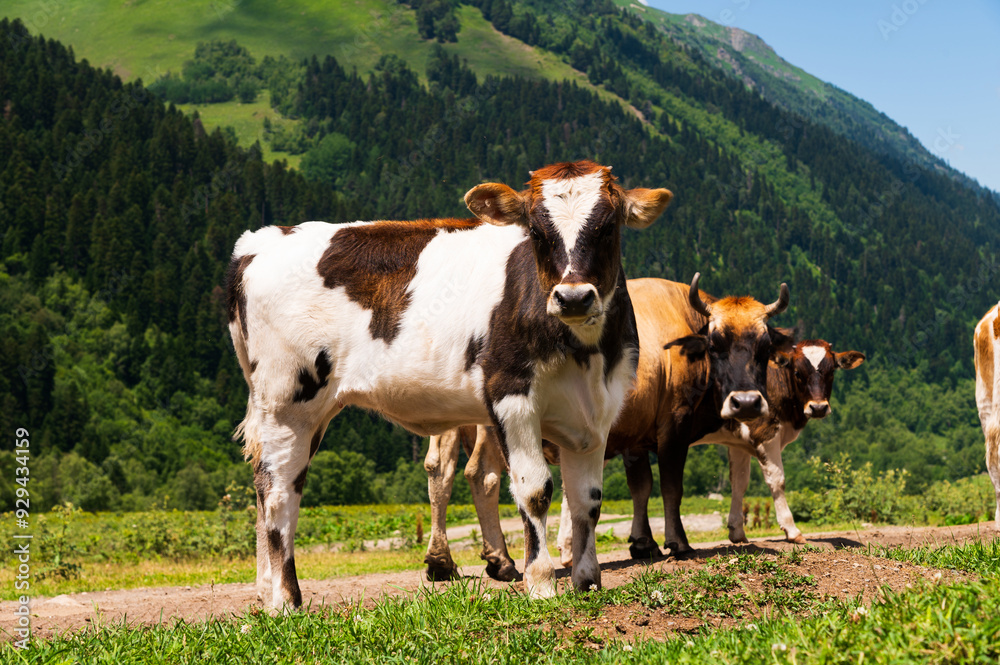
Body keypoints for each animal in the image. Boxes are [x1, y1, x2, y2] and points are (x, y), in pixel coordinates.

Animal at [226, 160, 672, 608]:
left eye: (608, 227)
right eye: (536, 232)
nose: (574, 297)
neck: (585, 354)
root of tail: (260, 241)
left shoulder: (598, 412)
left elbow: (587, 500)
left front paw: (587, 580)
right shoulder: (511, 397)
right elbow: (535, 489)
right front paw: (541, 583)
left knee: (266, 483)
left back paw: (266, 590)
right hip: (288, 403)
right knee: (279, 490)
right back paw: (286, 600)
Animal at [421, 273, 794, 579]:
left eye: (764, 347)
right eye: (715, 344)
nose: (746, 402)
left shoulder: (634, 438)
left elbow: (640, 488)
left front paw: (643, 543)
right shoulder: (674, 426)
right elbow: (671, 487)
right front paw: (678, 542)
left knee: (442, 472)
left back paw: (443, 562)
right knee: (484, 476)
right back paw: (501, 561)